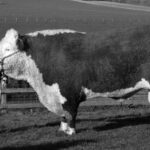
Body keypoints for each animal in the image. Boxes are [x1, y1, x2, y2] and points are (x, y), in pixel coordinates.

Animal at [0, 27, 150, 135]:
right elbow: (63, 115)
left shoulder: (69, 92)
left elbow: (70, 113)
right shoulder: (57, 94)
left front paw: (70, 131)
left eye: (7, 49)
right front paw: (62, 129)